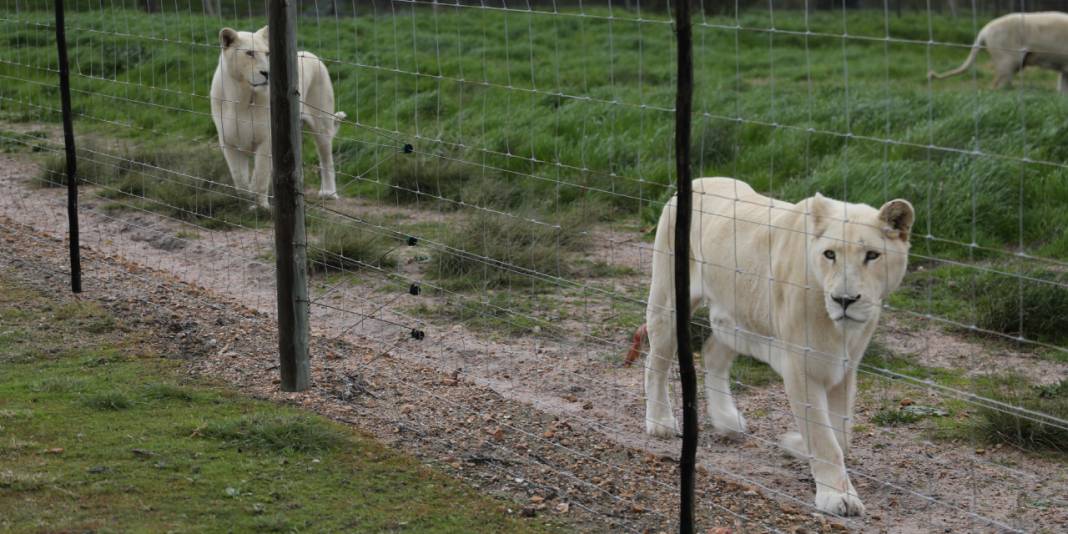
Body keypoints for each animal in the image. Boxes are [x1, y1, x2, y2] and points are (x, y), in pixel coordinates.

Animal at [214, 26, 348, 208]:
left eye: (268, 53)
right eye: (249, 53)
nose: (267, 73)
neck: (242, 97)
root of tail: (310, 54)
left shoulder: (267, 140)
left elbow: (260, 176)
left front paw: (261, 207)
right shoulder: (228, 142)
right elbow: (240, 179)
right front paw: (247, 203)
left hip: (322, 126)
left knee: (327, 160)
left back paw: (329, 193)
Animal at [636, 177, 914, 514]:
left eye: (872, 255)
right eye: (830, 254)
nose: (844, 300)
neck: (839, 328)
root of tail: (700, 180)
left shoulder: (845, 368)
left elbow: (842, 435)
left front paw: (798, 446)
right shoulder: (801, 367)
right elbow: (824, 437)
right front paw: (837, 496)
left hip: (739, 317)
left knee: (713, 353)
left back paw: (727, 419)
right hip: (669, 301)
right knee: (656, 361)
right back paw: (660, 421)